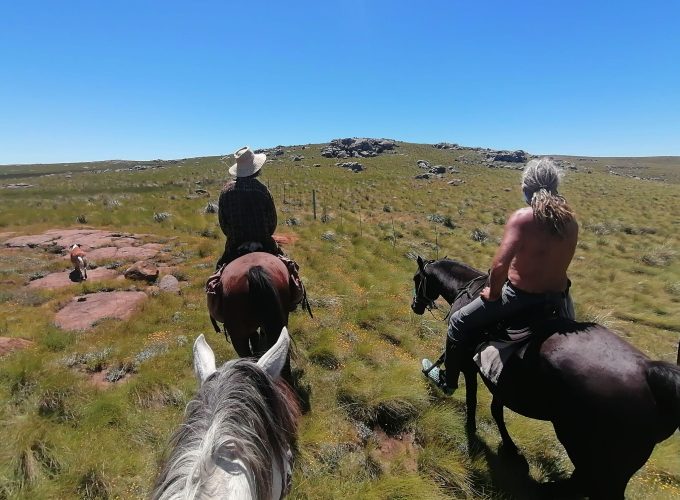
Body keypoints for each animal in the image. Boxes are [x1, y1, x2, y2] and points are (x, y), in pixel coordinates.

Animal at [412, 256, 676, 498]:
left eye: (417, 279)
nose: (415, 306)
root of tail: (651, 374)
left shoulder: (469, 367)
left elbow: (472, 399)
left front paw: (467, 422)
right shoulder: (502, 381)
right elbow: (497, 410)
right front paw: (510, 447)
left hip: (584, 447)